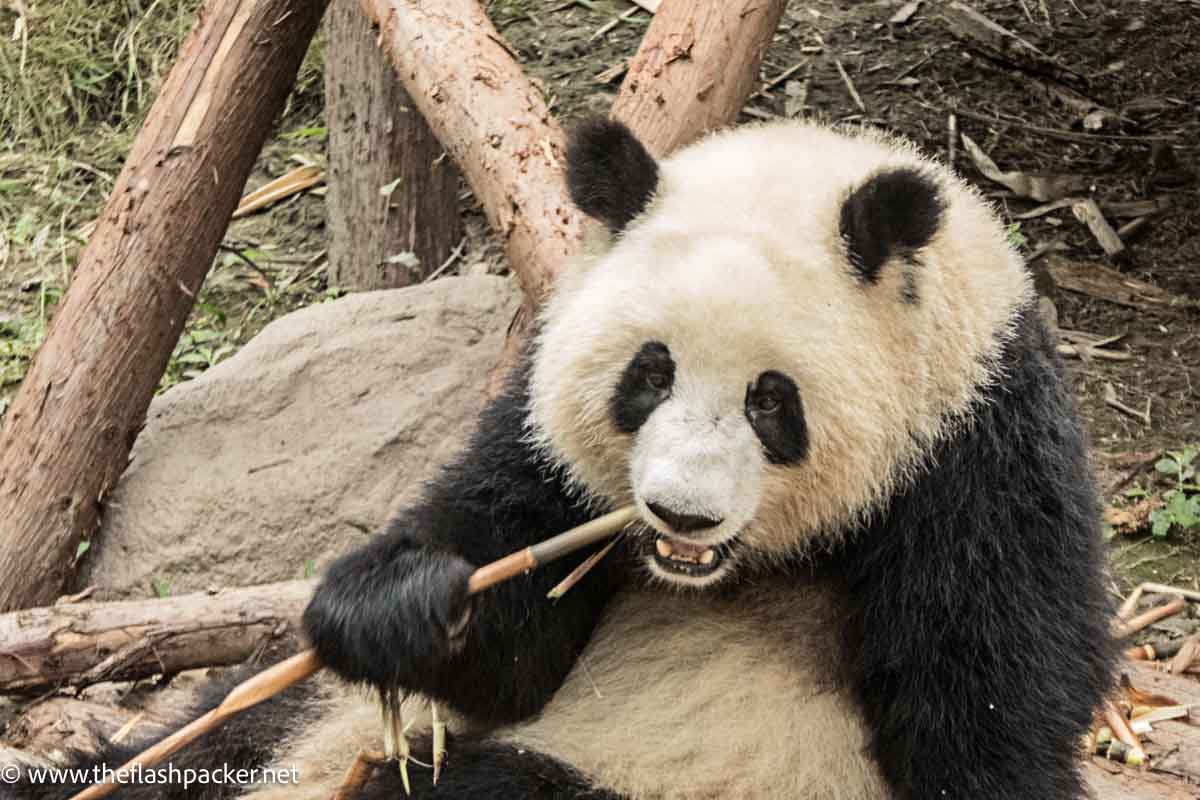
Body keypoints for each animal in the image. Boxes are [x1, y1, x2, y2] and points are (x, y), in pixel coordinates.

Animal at [7, 120, 1113, 800]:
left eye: (772, 400)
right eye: (648, 375)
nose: (680, 516)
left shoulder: (976, 456)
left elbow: (984, 702)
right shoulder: (544, 446)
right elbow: (512, 623)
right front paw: (398, 601)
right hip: (294, 715)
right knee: (210, 734)